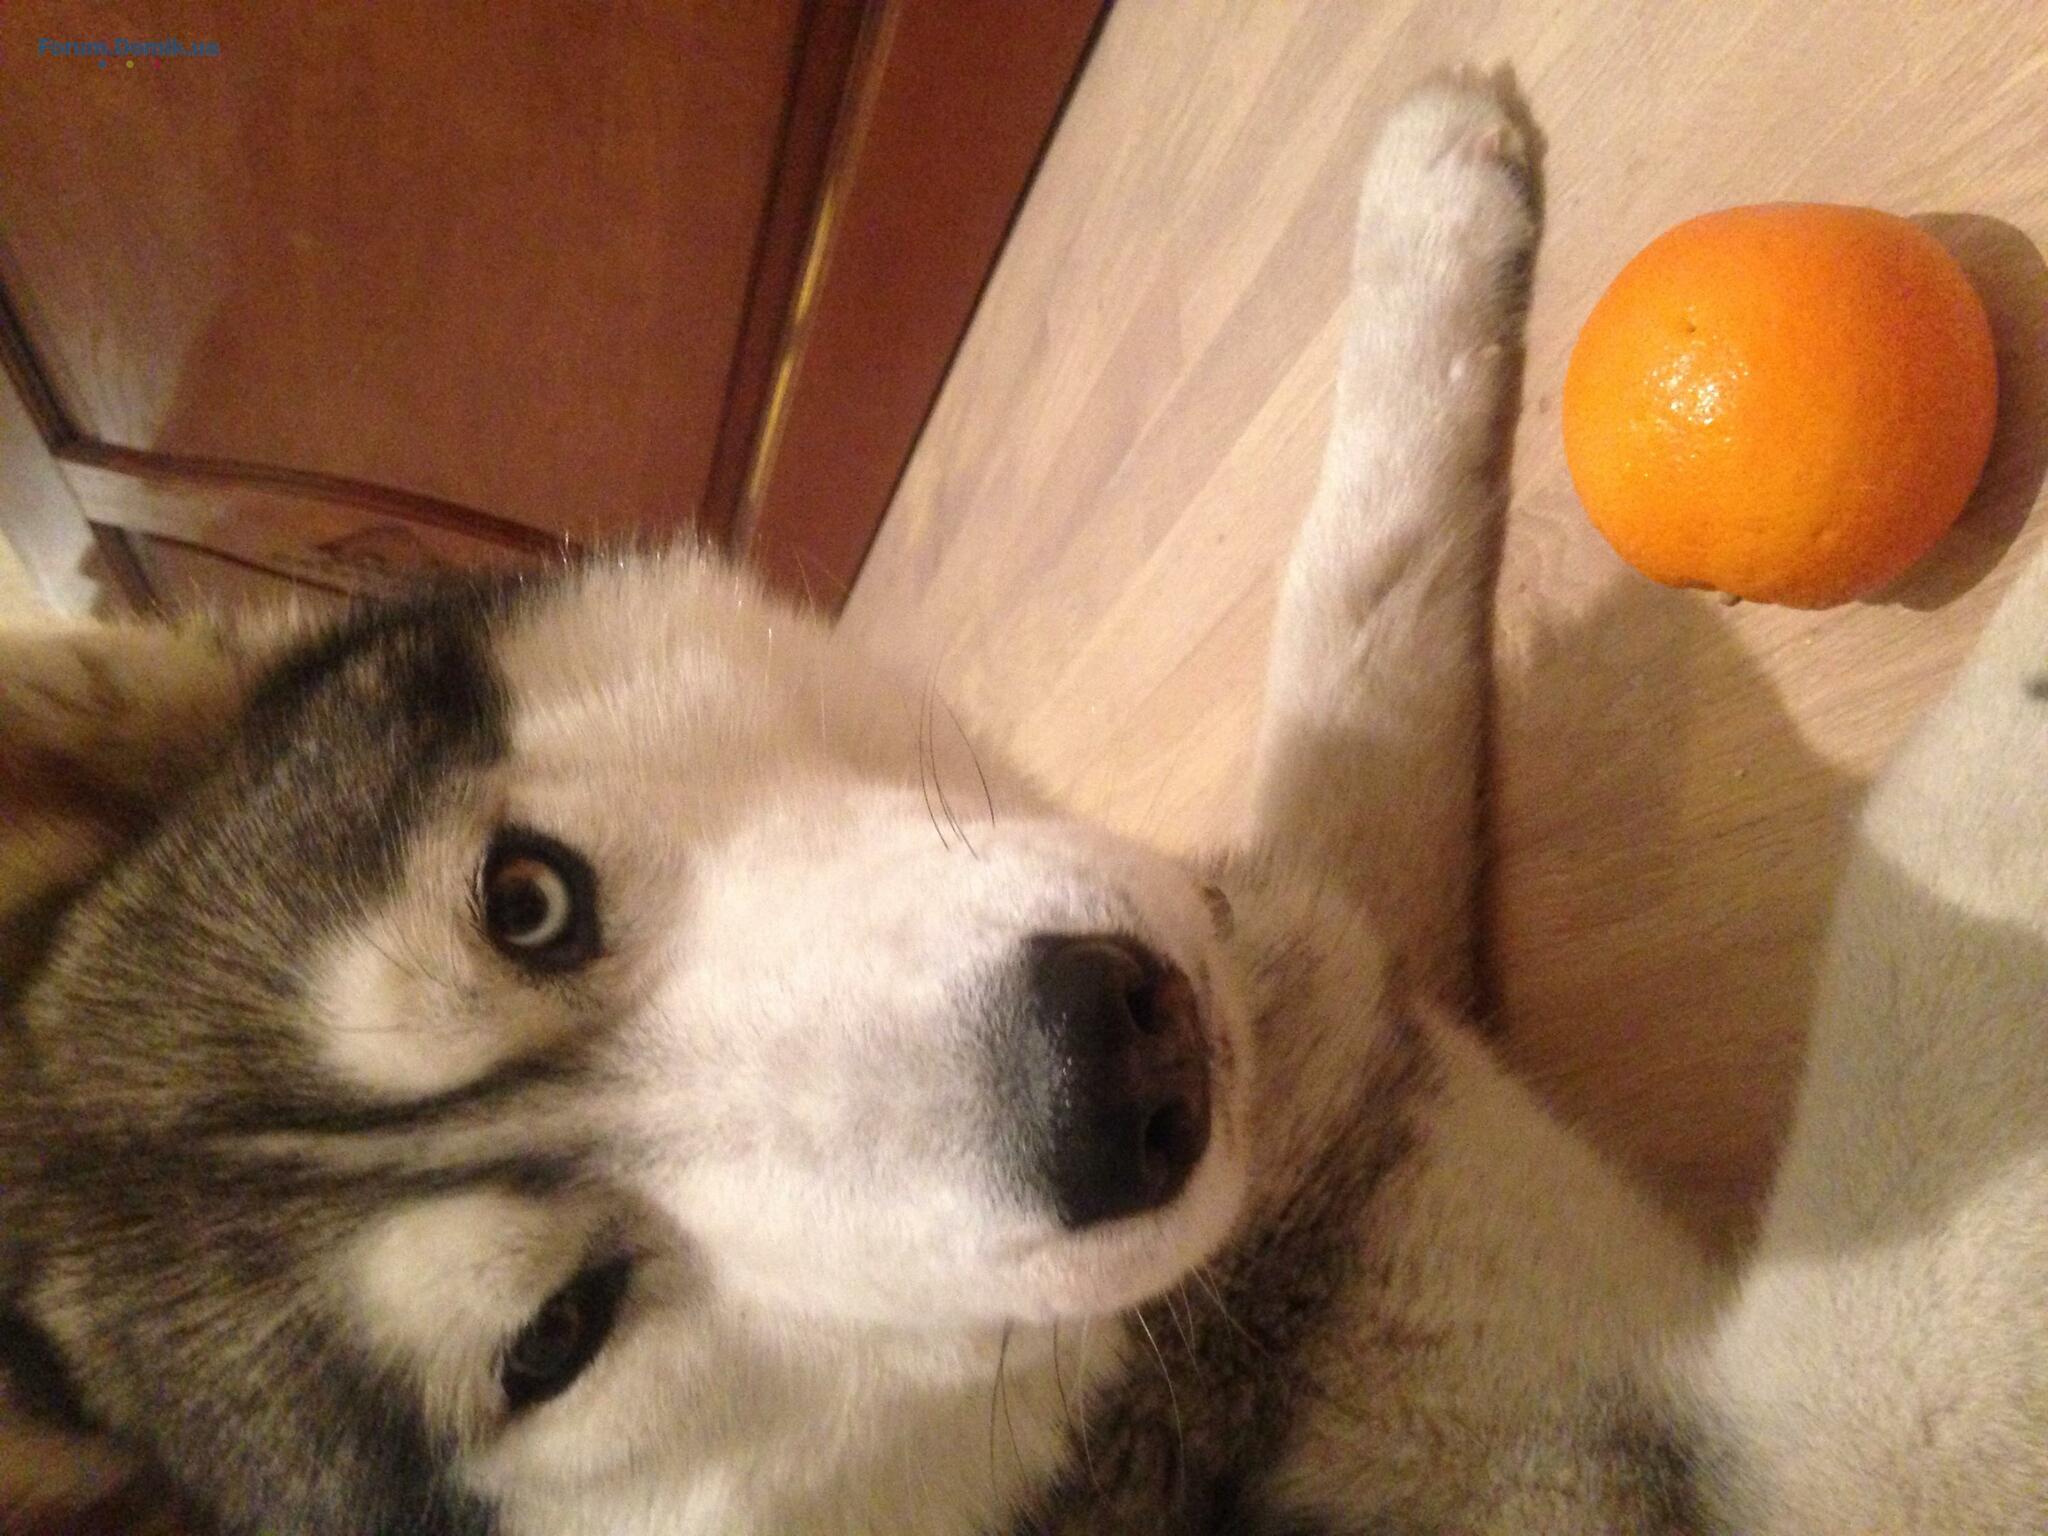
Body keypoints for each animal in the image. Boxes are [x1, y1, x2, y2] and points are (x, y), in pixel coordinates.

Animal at [3, 74, 2045, 1535]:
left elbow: (1356, 626)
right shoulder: (1774, 1463)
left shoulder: (1332, 962)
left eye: (527, 899)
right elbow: (1924, 1080)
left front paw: (1437, 199)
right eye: (554, 1342)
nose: (1113, 1056)